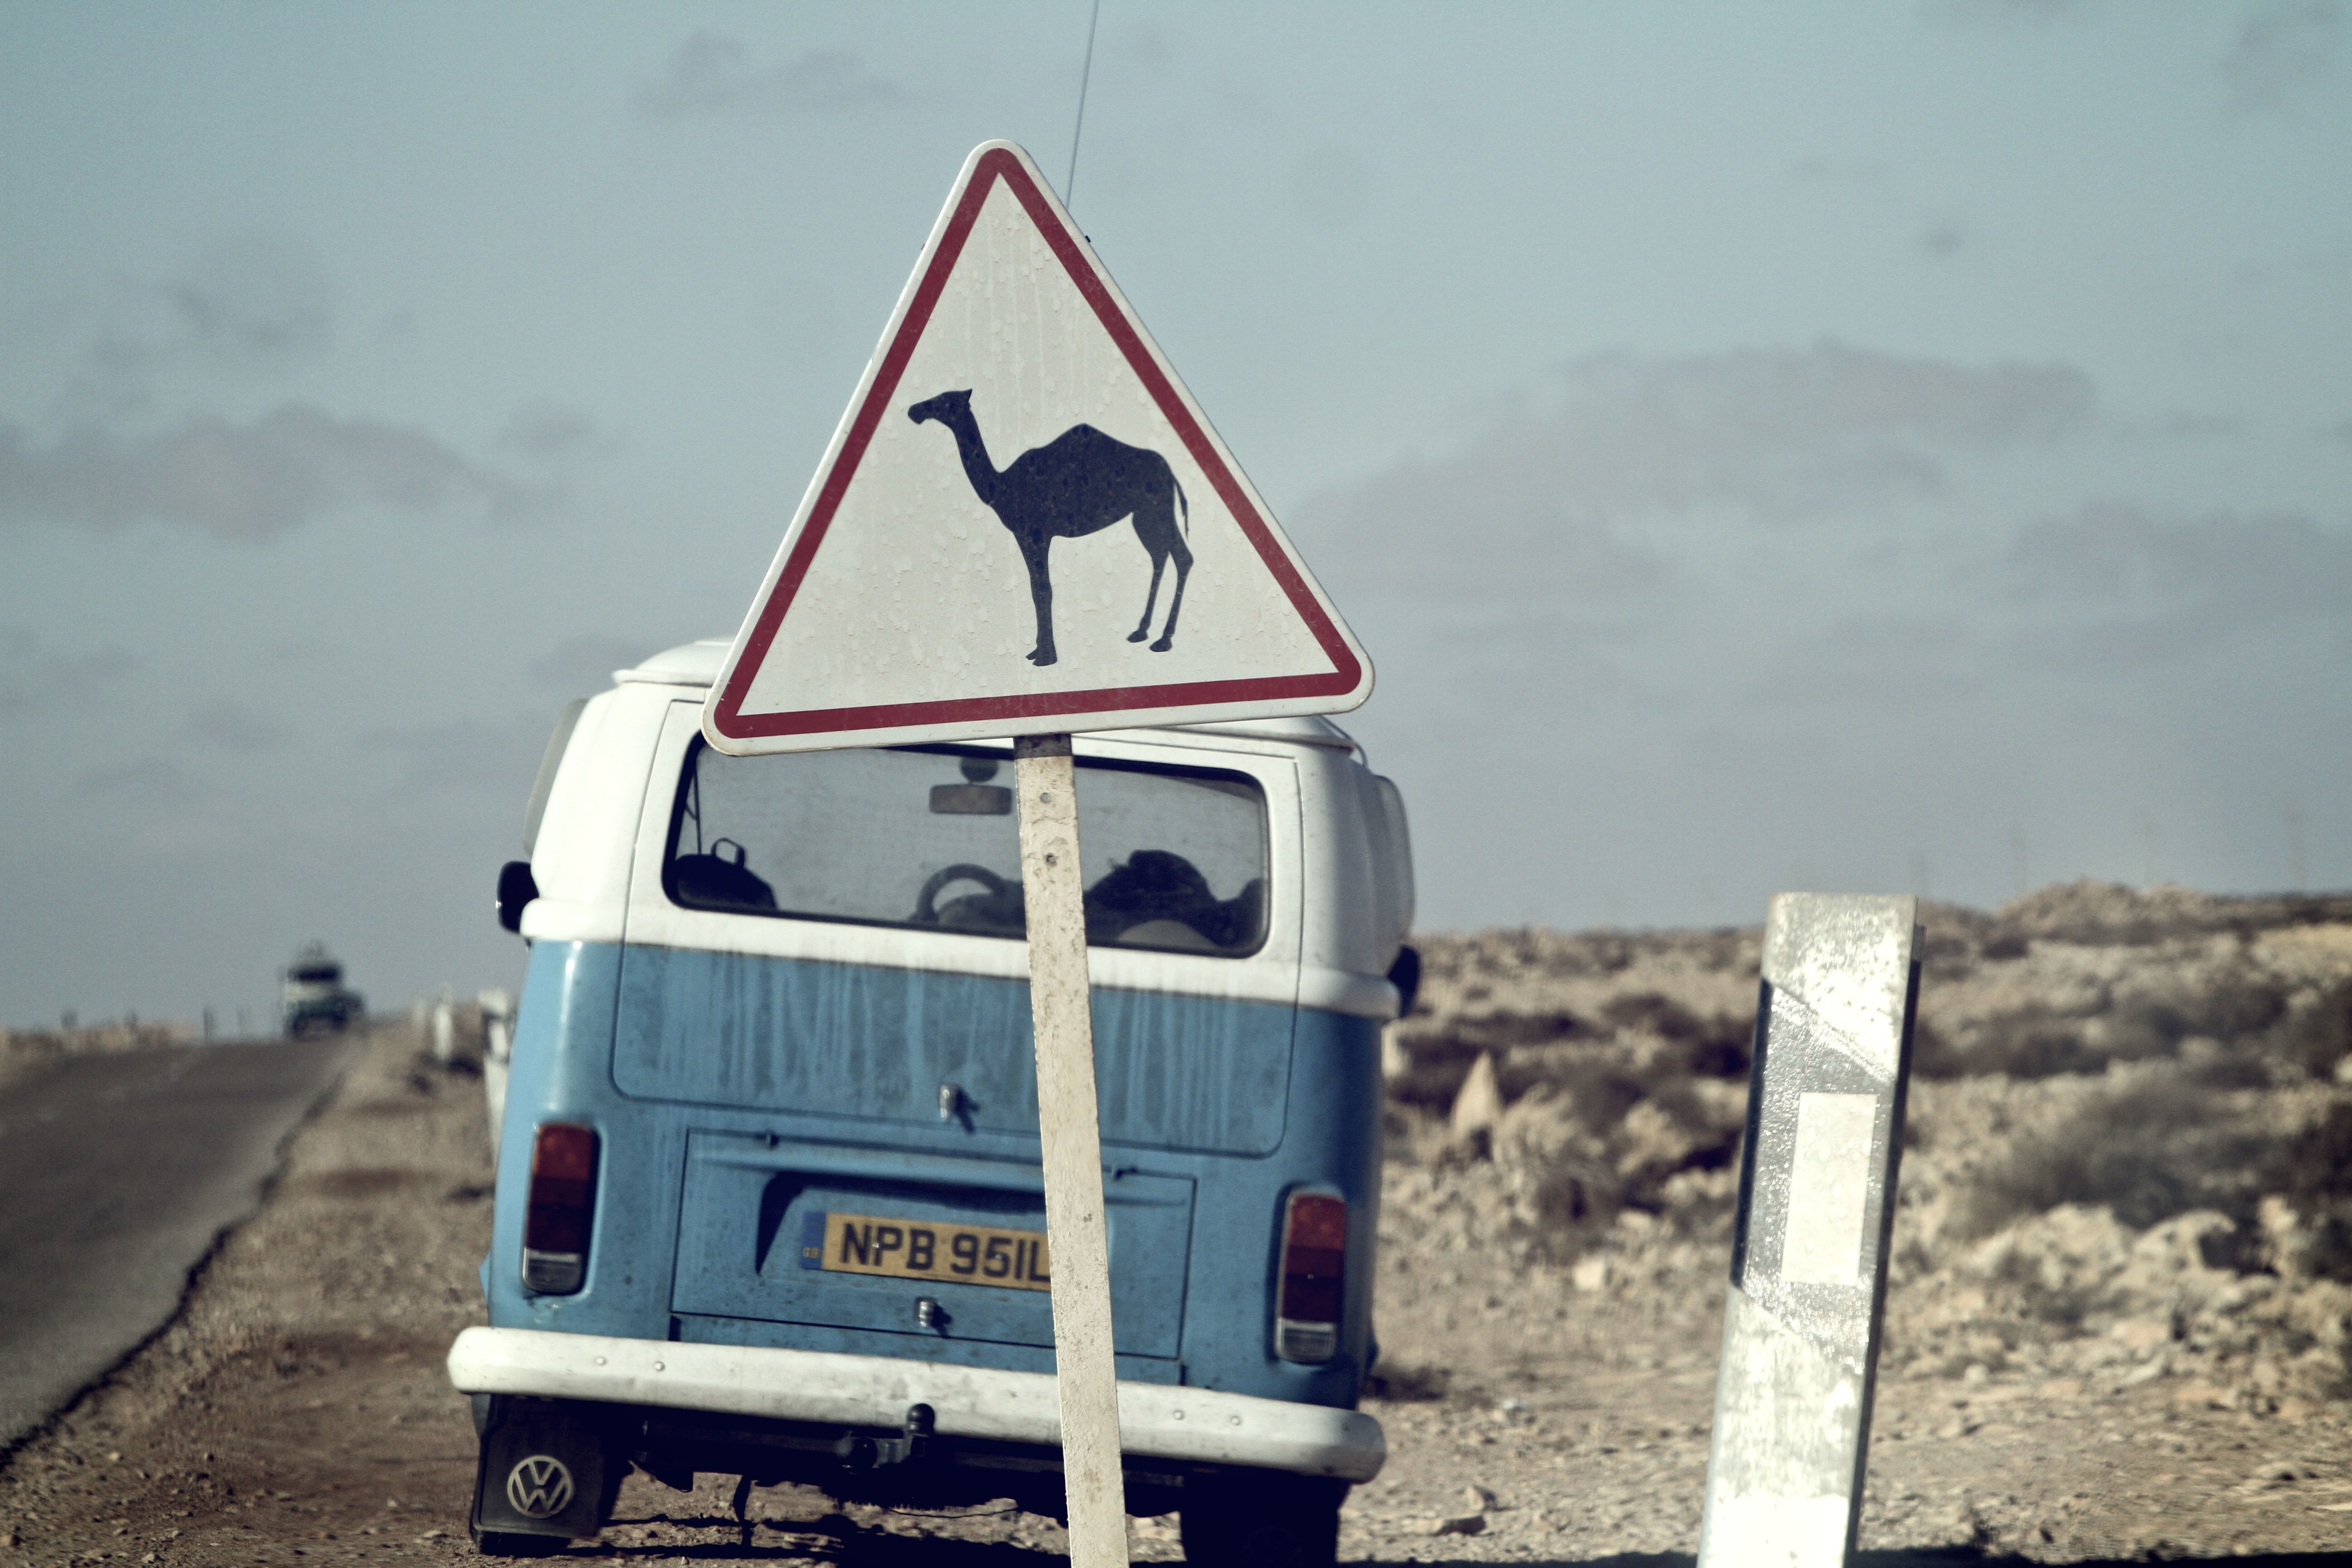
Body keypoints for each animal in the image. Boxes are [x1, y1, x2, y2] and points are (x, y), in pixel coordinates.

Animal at [907, 389, 1190, 667]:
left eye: (946, 401)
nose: (914, 410)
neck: (1001, 486)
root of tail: (1172, 475)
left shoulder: (1035, 533)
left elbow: (1043, 589)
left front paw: (1046, 656)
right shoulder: (1027, 535)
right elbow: (1036, 588)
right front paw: (1036, 650)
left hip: (1157, 509)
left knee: (1182, 557)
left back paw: (1164, 640)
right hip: (1143, 516)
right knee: (1161, 556)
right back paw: (1142, 631)